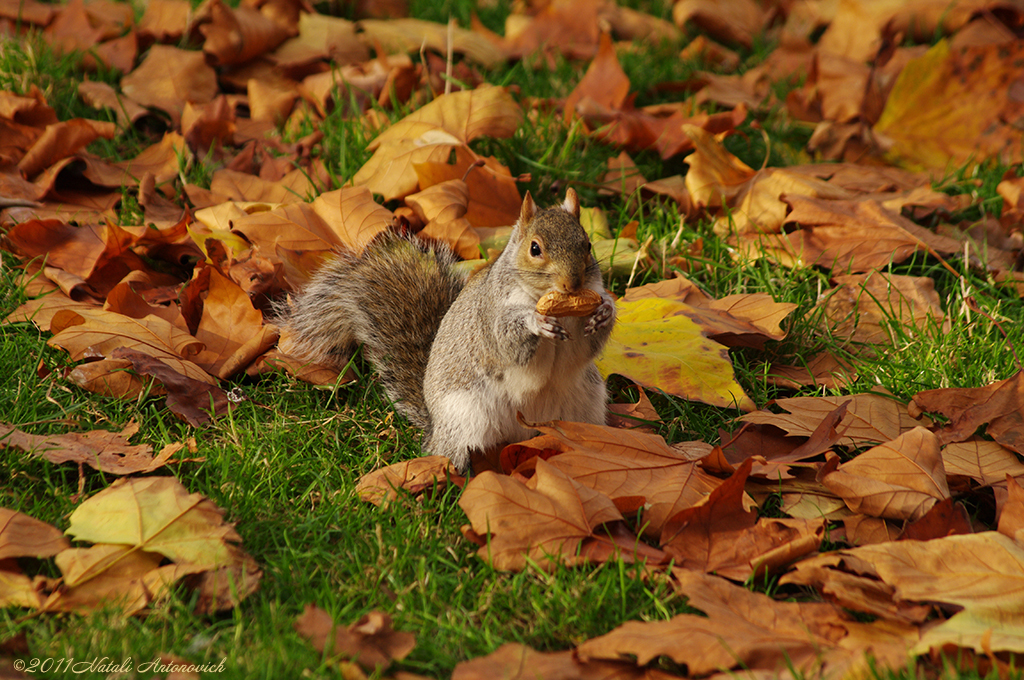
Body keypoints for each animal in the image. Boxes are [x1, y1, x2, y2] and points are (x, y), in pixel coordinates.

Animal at [276, 188, 614, 471]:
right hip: (467, 417)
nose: (573, 284)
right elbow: (507, 341)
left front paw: (604, 313)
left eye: (588, 244)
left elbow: (586, 347)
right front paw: (536, 322)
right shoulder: (490, 314)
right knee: (451, 452)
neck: (556, 304)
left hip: (584, 406)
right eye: (535, 249)